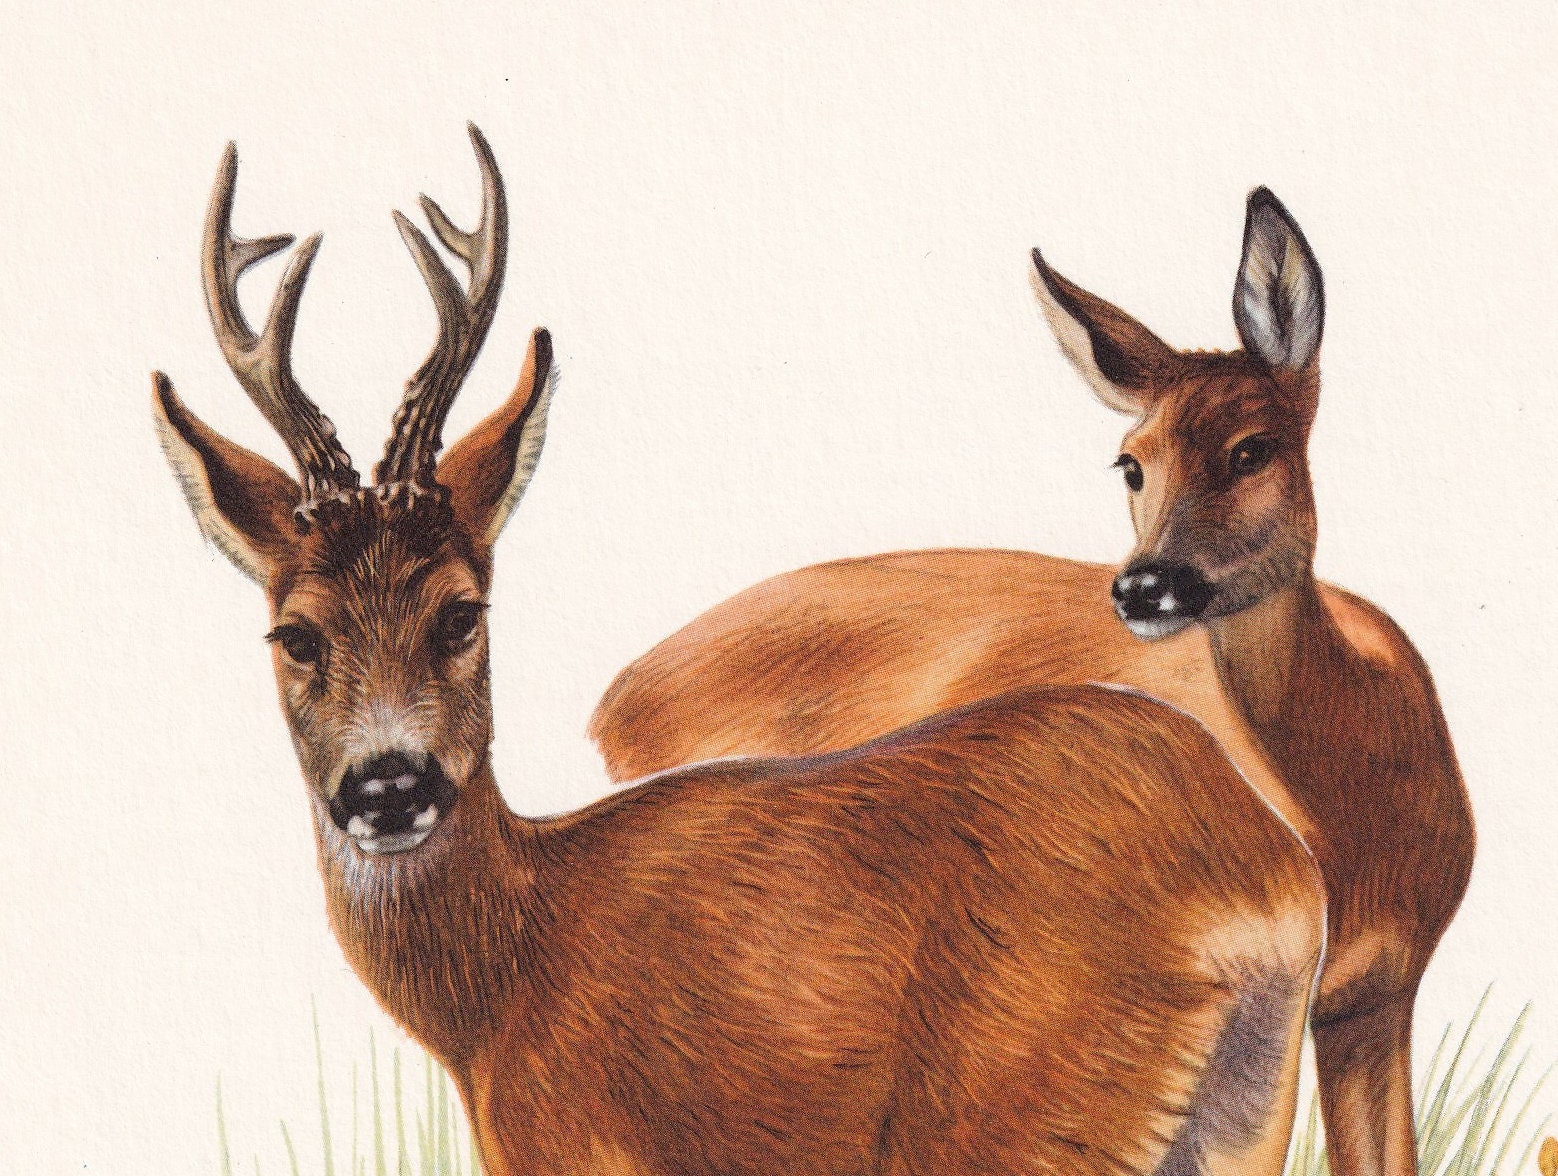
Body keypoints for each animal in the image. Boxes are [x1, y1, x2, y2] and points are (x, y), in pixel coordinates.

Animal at [153, 127, 1328, 1176]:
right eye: (294, 634)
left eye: (461, 612)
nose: (388, 784)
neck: (508, 970)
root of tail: (1269, 888)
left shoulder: (577, 1155)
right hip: (1243, 1122)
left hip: (1014, 1112)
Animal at [590, 189, 1476, 1176]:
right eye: (1132, 461)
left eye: (1254, 449)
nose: (1144, 586)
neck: (1347, 810)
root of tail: (607, 705)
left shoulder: (1379, 994)